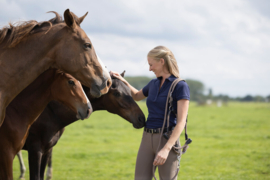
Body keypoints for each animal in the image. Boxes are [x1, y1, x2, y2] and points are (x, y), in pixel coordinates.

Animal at [16, 71, 146, 180]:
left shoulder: (47, 150)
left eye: (130, 92)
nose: (142, 118)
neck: (50, 111)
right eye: (117, 93)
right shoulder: (35, 149)